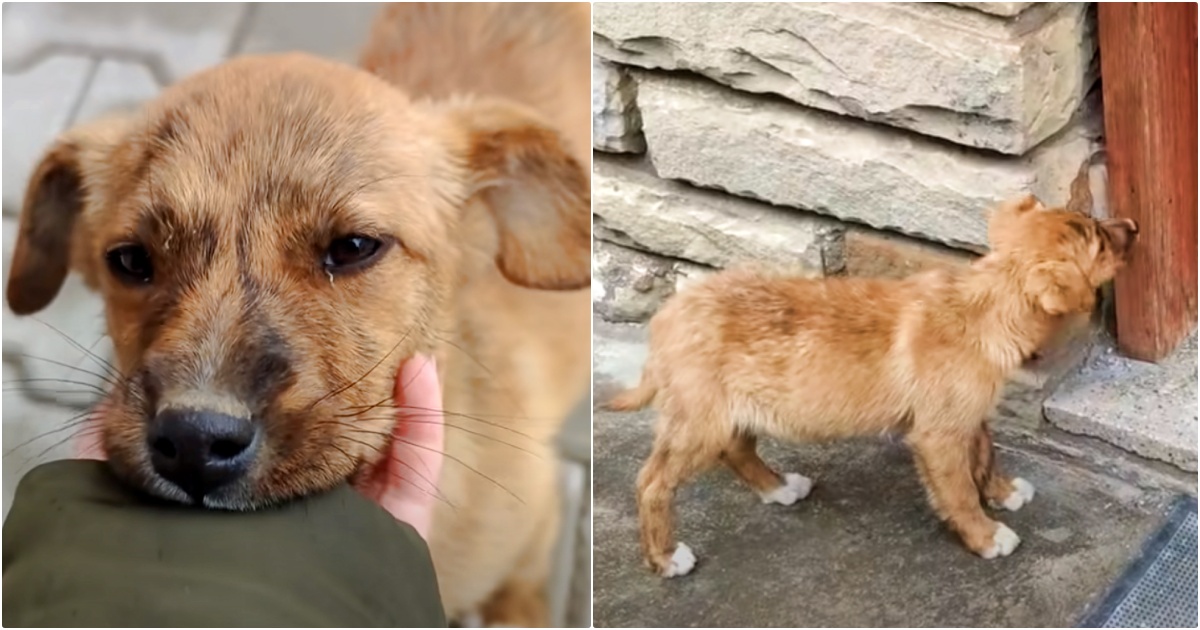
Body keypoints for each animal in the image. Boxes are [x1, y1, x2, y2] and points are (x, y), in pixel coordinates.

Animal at [614, 196, 1137, 573]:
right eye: (1099, 241)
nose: (1134, 226)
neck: (985, 305)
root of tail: (665, 319)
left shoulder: (967, 416)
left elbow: (985, 456)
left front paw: (1004, 492)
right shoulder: (937, 435)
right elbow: (959, 491)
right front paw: (986, 536)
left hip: (732, 411)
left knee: (737, 449)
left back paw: (778, 488)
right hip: (697, 424)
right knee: (652, 483)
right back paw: (665, 557)